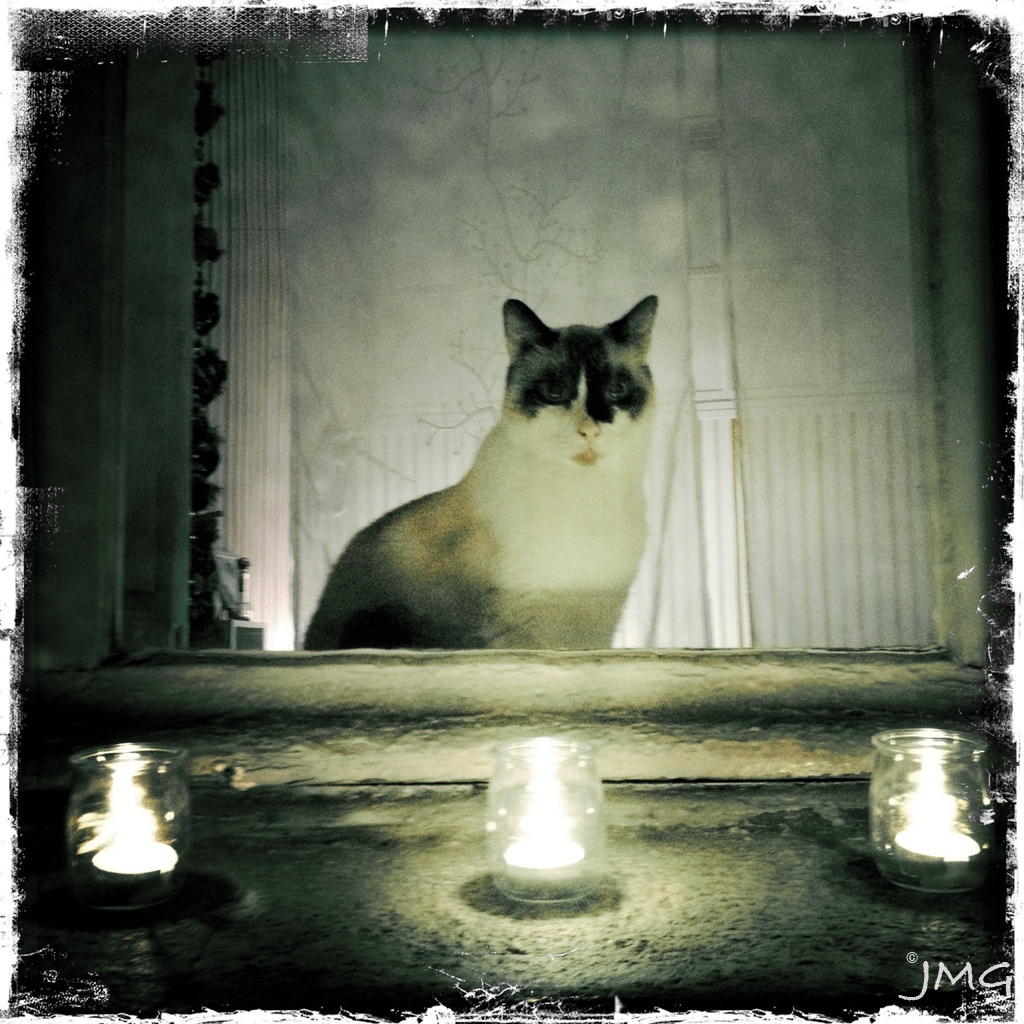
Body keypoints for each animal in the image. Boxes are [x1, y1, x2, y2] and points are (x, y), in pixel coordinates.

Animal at [303, 294, 658, 651]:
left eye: (617, 390)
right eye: (555, 393)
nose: (590, 430)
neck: (585, 492)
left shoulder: (594, 633)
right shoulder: (519, 629)